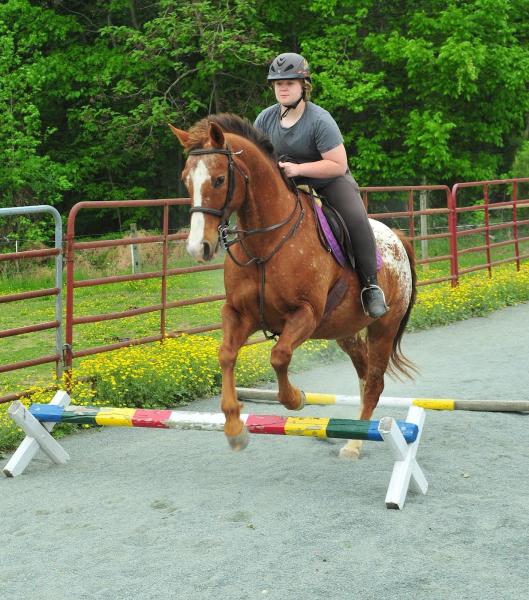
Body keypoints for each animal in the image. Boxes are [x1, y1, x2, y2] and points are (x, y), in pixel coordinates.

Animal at [169, 113, 416, 460]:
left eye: (218, 180)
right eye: (186, 180)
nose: (197, 247)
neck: (265, 243)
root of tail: (398, 238)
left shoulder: (305, 314)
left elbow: (279, 355)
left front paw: (296, 398)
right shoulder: (239, 313)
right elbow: (226, 355)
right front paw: (234, 428)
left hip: (383, 327)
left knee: (374, 383)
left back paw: (354, 444)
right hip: (346, 331)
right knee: (365, 373)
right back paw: (355, 430)